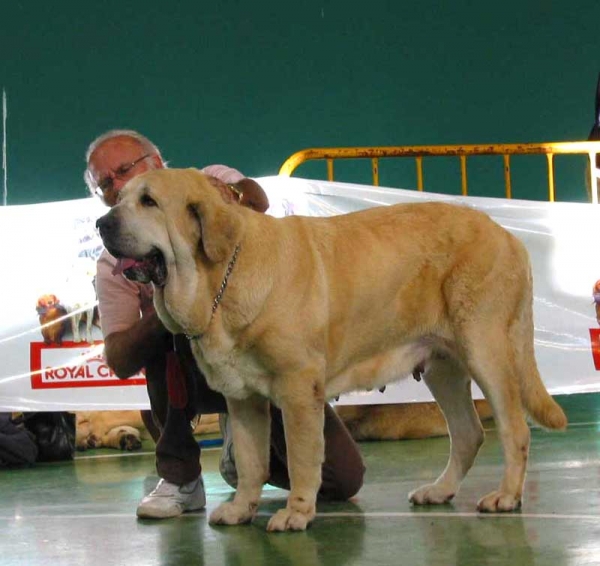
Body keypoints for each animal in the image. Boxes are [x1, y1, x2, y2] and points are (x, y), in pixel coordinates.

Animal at [97, 169, 568, 532]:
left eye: (149, 201)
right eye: (119, 198)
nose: (102, 222)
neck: (221, 277)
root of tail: (508, 236)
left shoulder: (298, 391)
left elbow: (304, 458)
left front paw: (296, 514)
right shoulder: (242, 399)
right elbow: (250, 463)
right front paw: (241, 509)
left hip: (485, 351)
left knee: (514, 430)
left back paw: (505, 496)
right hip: (443, 367)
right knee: (469, 433)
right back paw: (440, 490)